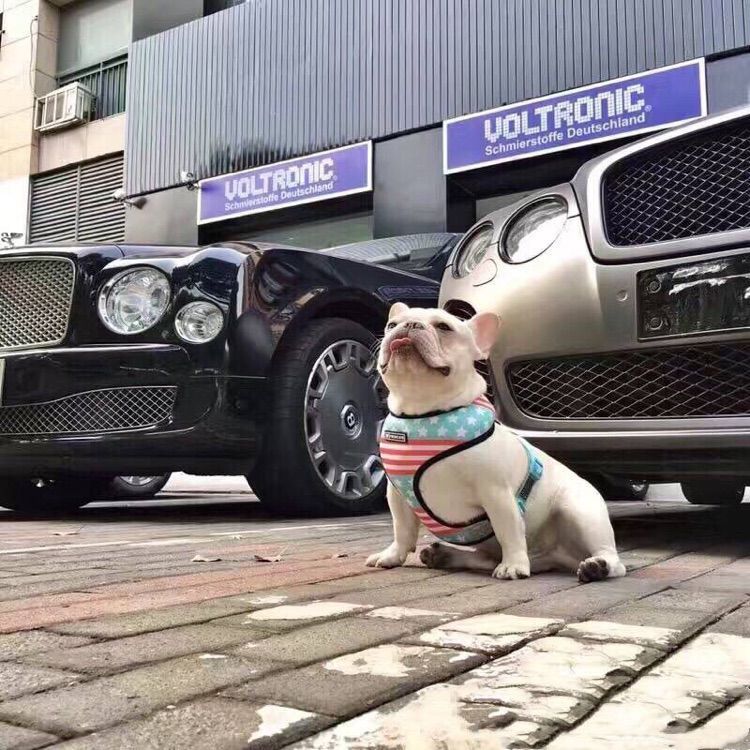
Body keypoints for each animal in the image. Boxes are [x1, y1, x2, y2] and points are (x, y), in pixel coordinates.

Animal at [366, 303, 626, 583]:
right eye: (391, 325)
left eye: (444, 327)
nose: (410, 325)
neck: (424, 413)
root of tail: (557, 555)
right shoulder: (396, 493)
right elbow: (401, 528)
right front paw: (392, 555)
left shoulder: (496, 492)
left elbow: (508, 530)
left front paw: (513, 565)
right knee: (486, 558)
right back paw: (444, 555)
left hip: (580, 510)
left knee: (611, 557)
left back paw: (597, 566)